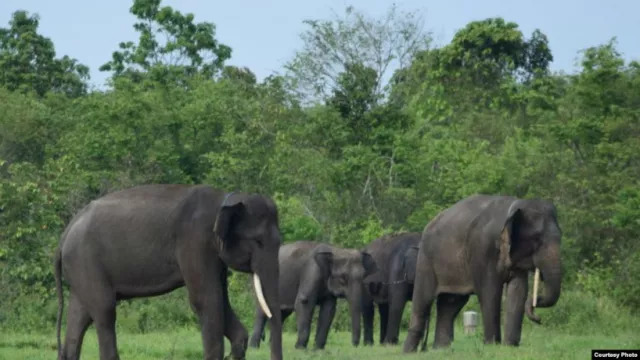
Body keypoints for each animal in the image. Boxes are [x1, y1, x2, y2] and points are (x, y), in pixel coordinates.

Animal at [53, 186, 284, 360]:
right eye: (258, 241)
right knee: (104, 310)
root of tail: (64, 236)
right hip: (86, 263)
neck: (225, 200)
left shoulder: (215, 257)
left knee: (80, 314)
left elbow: (222, 301)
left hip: (80, 269)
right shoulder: (195, 241)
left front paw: (235, 350)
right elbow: (206, 301)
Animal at [245, 240, 376, 350]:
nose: (354, 345)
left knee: (282, 314)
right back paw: (253, 348)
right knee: (262, 311)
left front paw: (318, 349)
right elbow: (304, 302)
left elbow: (328, 309)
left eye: (364, 276)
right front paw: (300, 348)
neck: (335, 250)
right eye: (343, 278)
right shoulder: (312, 272)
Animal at [402, 195, 564, 352]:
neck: (513, 206)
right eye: (536, 239)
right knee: (423, 300)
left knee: (451, 304)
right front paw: (493, 345)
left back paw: (441, 350)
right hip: (426, 260)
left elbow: (518, 290)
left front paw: (510, 346)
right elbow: (490, 291)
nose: (539, 319)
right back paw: (409, 351)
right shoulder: (482, 249)